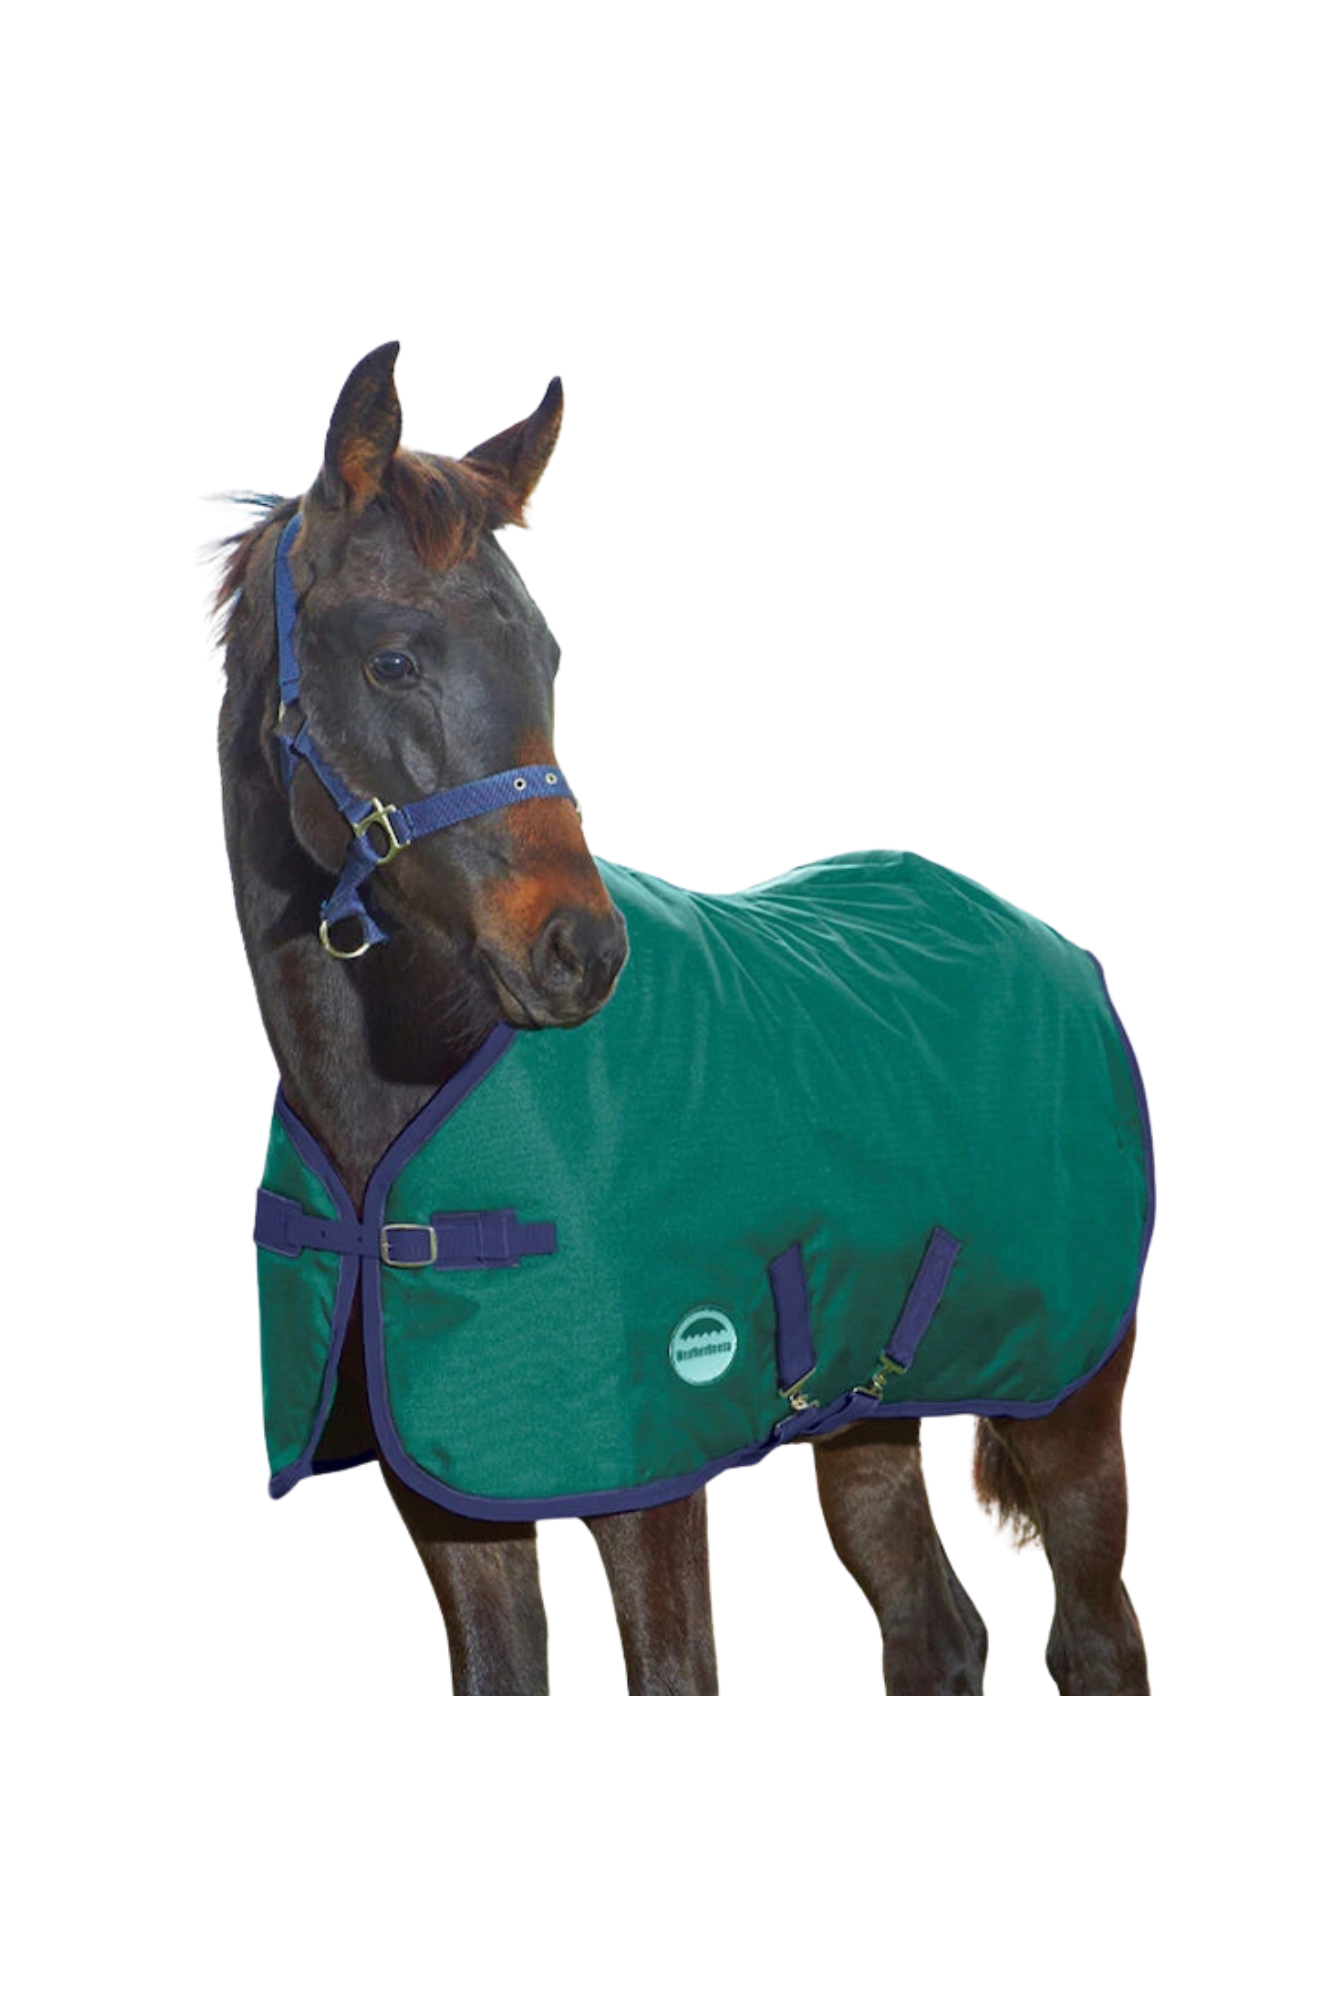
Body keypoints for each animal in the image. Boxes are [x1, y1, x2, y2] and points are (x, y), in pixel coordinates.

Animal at [202, 339, 1152, 1695]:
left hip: (1072, 1408)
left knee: (1095, 1635)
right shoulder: (453, 1508)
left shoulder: (650, 1481)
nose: (582, 953)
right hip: (866, 1420)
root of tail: (1050, 942)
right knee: (935, 1626)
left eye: (546, 659)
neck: (401, 1106)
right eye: (392, 659)